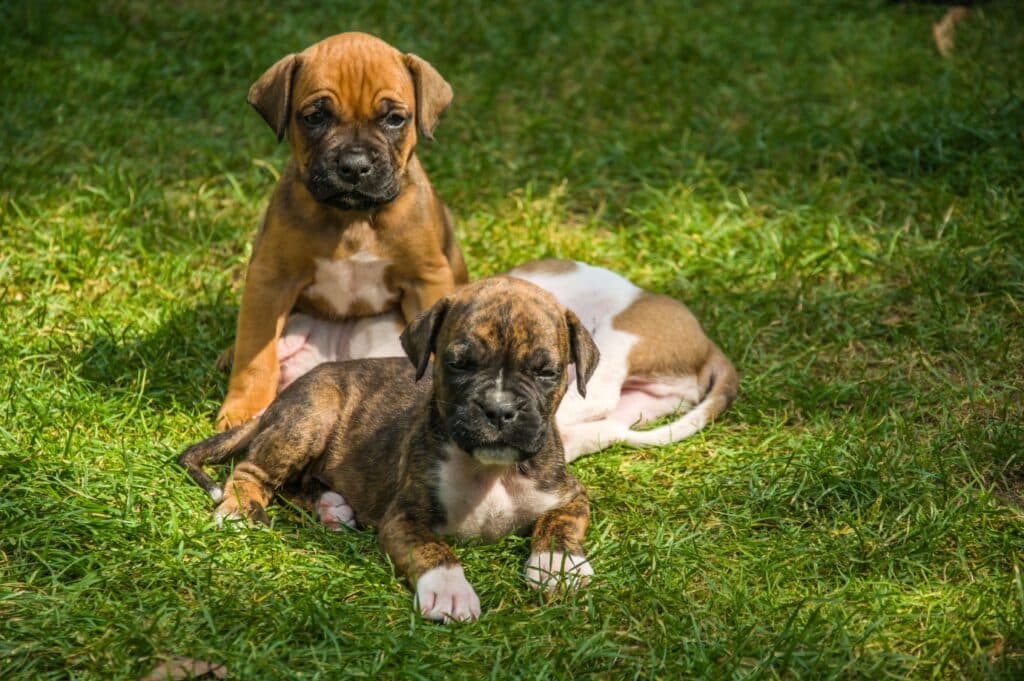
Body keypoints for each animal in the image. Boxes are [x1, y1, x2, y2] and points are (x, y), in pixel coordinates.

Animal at [222, 31, 468, 430]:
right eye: (315, 117)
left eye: (395, 119)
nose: (354, 165)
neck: (352, 217)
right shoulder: (270, 280)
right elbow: (255, 353)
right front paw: (243, 409)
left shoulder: (426, 279)